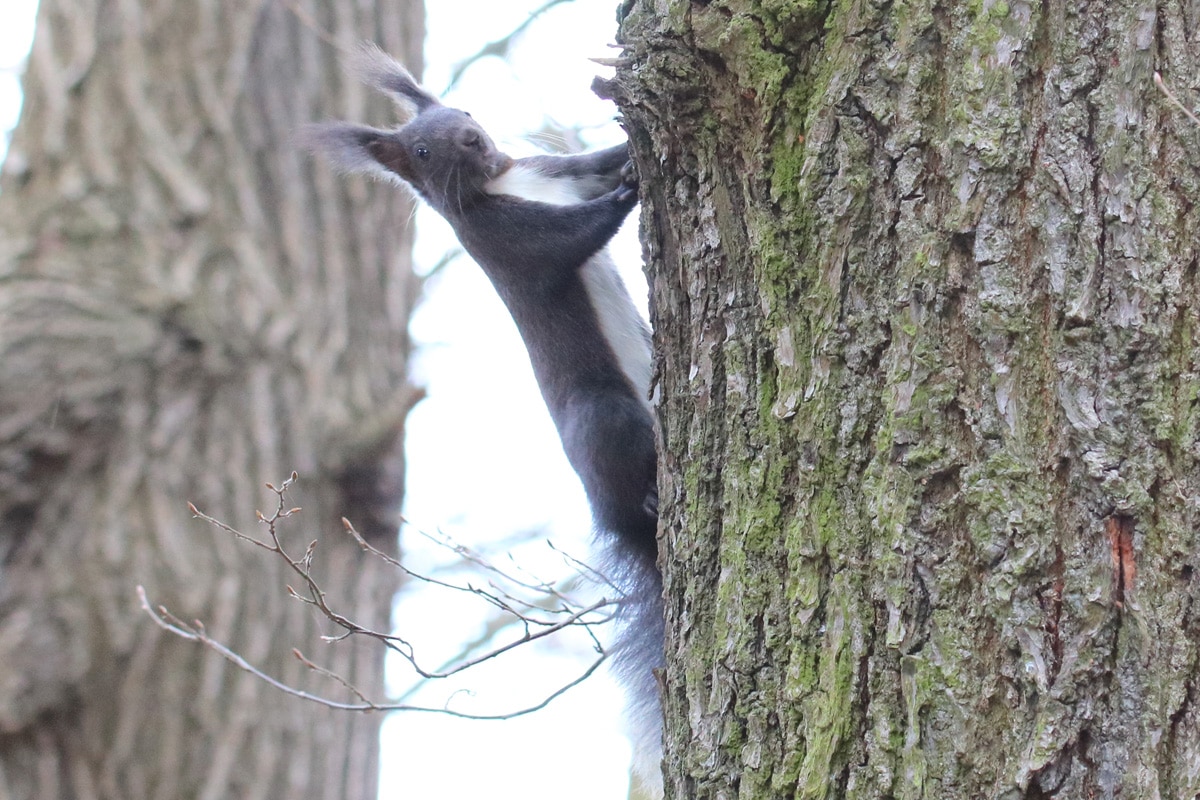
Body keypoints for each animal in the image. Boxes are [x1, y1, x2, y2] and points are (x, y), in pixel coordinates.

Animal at [304, 48, 667, 796]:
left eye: (463, 111)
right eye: (420, 148)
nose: (473, 139)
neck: (504, 179)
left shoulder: (557, 172)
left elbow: (598, 161)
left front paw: (629, 142)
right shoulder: (508, 241)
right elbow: (572, 238)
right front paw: (630, 192)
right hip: (603, 417)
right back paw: (645, 497)